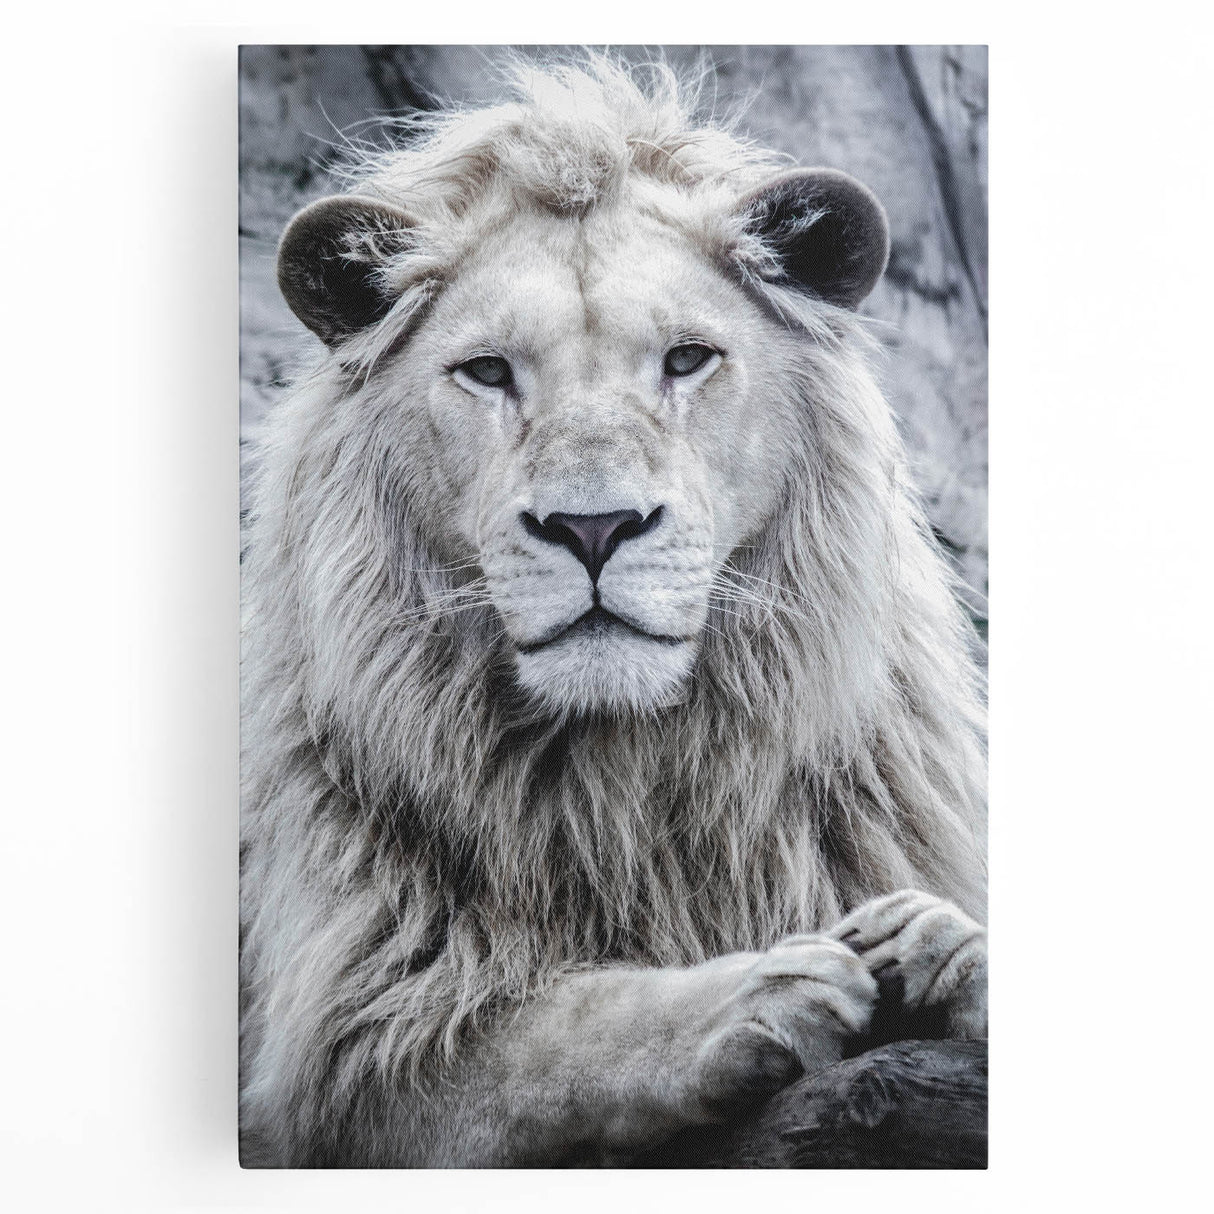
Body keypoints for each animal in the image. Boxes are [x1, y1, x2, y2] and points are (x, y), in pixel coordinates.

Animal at [240, 56, 988, 1168]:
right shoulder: (354, 1046)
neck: (626, 779)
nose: (593, 528)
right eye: (487, 370)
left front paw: (942, 944)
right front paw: (760, 989)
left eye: (686, 359)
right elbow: (556, 1031)